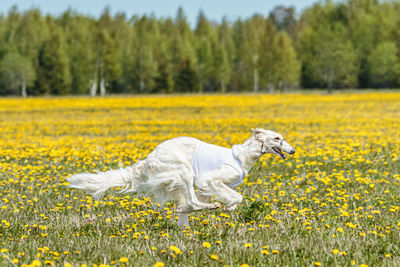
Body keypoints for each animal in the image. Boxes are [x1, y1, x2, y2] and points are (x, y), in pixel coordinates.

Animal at [68, 129, 294, 228]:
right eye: (277, 138)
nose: (292, 150)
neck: (243, 156)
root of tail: (149, 159)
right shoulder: (209, 180)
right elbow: (236, 196)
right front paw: (228, 207)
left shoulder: (206, 188)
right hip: (183, 170)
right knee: (191, 201)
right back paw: (209, 208)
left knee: (186, 206)